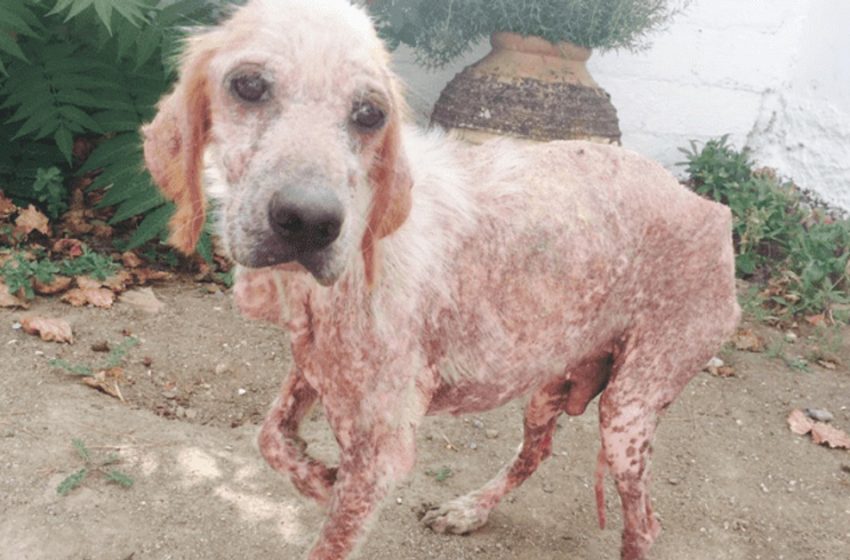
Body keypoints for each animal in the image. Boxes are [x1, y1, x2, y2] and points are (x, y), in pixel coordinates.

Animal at [139, 0, 736, 556]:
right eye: (248, 85)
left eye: (370, 114)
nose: (309, 222)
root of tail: (714, 212)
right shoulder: (315, 365)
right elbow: (270, 437)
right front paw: (314, 475)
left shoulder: (378, 455)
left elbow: (331, 532)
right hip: (548, 382)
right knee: (535, 452)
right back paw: (469, 510)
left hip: (627, 415)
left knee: (644, 524)